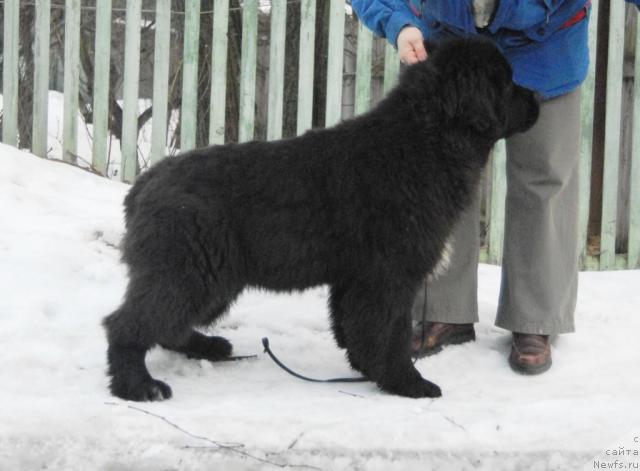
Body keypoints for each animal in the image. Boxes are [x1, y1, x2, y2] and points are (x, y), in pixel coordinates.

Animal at [102, 36, 536, 402]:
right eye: (506, 82)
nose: (538, 98)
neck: (426, 139)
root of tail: (144, 184)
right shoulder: (389, 275)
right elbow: (389, 331)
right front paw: (407, 382)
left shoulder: (356, 278)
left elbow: (357, 329)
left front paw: (368, 369)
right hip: (188, 271)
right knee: (127, 324)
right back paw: (139, 386)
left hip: (210, 280)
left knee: (166, 325)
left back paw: (206, 347)